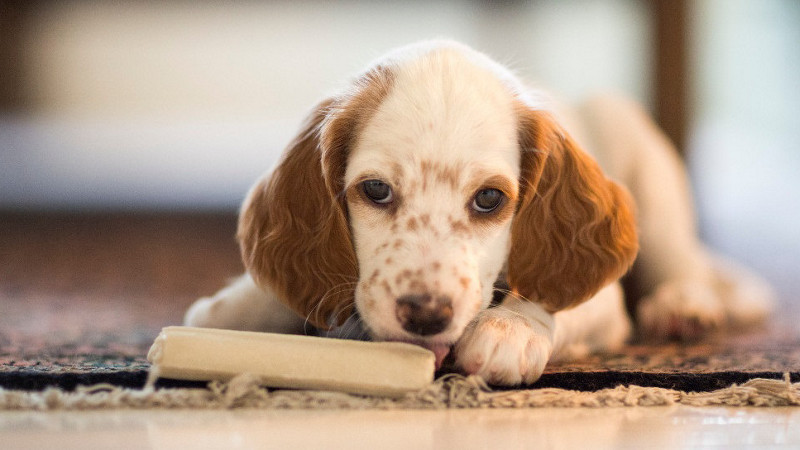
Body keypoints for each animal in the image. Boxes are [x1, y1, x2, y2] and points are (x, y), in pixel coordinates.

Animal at [184, 41, 772, 384]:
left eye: (488, 199)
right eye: (375, 190)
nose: (425, 315)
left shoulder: (602, 303)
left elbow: (549, 297)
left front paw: (509, 331)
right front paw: (232, 308)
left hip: (644, 167)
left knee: (682, 263)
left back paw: (682, 306)